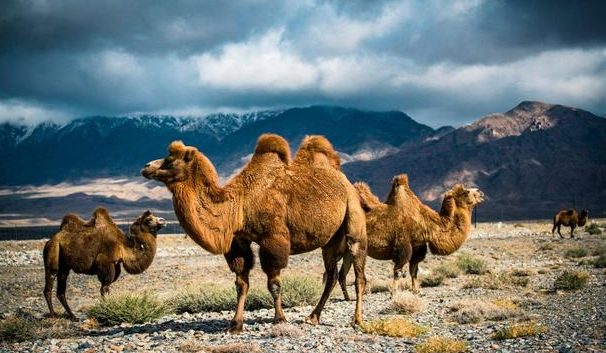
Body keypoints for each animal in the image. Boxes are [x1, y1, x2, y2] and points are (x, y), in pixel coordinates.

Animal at [142, 133, 368, 332]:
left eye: (169, 160)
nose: (146, 167)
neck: (240, 203)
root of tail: (347, 182)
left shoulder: (272, 238)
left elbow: (274, 283)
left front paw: (279, 319)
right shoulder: (239, 241)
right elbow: (241, 283)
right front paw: (235, 324)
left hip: (353, 219)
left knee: (359, 275)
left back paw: (357, 320)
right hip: (330, 240)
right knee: (331, 275)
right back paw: (313, 317)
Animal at [338, 174, 484, 296]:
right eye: (466, 192)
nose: (481, 192)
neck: (427, 223)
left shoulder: (417, 247)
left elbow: (414, 270)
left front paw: (416, 291)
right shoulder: (404, 246)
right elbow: (398, 270)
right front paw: (394, 292)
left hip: (348, 249)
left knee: (341, 273)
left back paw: (348, 297)